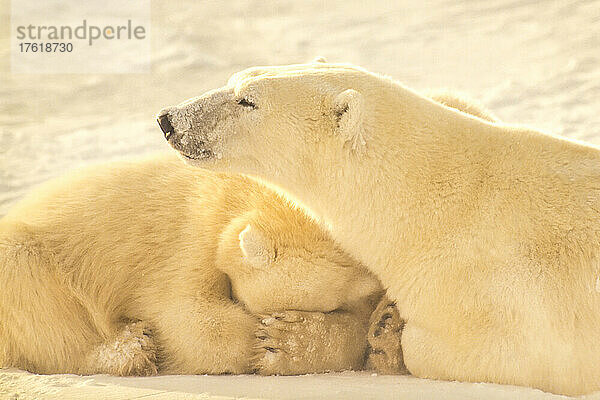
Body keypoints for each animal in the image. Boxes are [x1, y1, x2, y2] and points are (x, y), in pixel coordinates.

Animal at [158, 61, 600, 396]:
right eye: (235, 78)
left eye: (248, 99)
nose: (168, 120)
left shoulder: (507, 299)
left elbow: (449, 347)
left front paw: (387, 333)